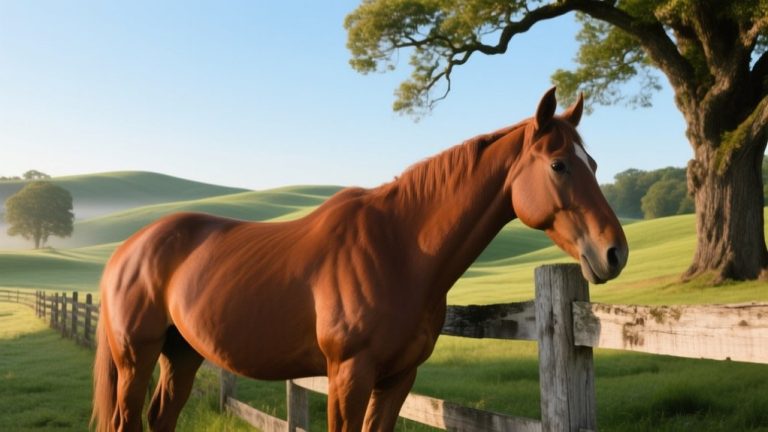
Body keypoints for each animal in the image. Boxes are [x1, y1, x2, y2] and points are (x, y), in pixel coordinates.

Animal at [92, 87, 628, 431]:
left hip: (181, 354)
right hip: (135, 358)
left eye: (593, 163)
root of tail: (127, 250)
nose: (614, 252)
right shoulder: (348, 375)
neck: (401, 250)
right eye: (559, 164)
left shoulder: (396, 379)